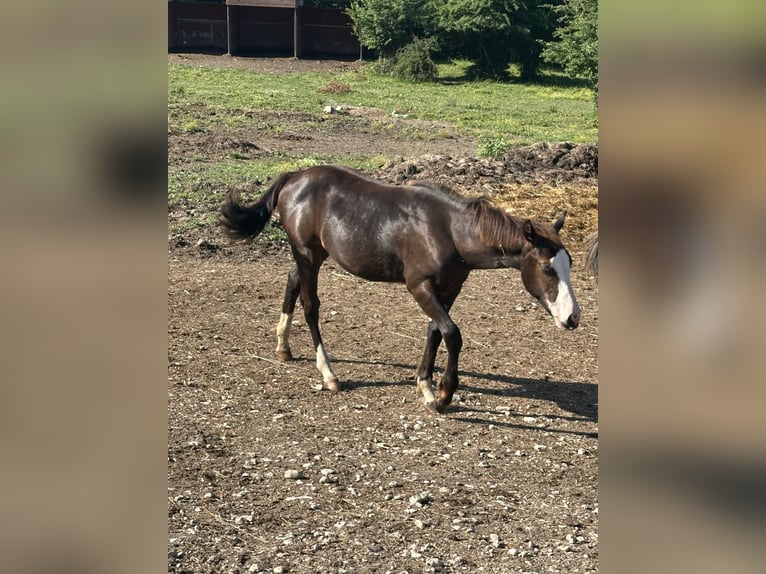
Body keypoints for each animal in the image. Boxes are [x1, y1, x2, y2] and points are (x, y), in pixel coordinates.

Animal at [220, 165, 581, 414]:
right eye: (547, 268)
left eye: (570, 263)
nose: (572, 317)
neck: (449, 231)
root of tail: (295, 176)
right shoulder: (418, 286)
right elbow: (452, 334)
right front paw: (443, 395)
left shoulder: (450, 288)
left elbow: (435, 331)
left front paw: (425, 385)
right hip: (308, 254)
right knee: (311, 306)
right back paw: (328, 374)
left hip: (312, 255)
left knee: (292, 281)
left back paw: (283, 347)